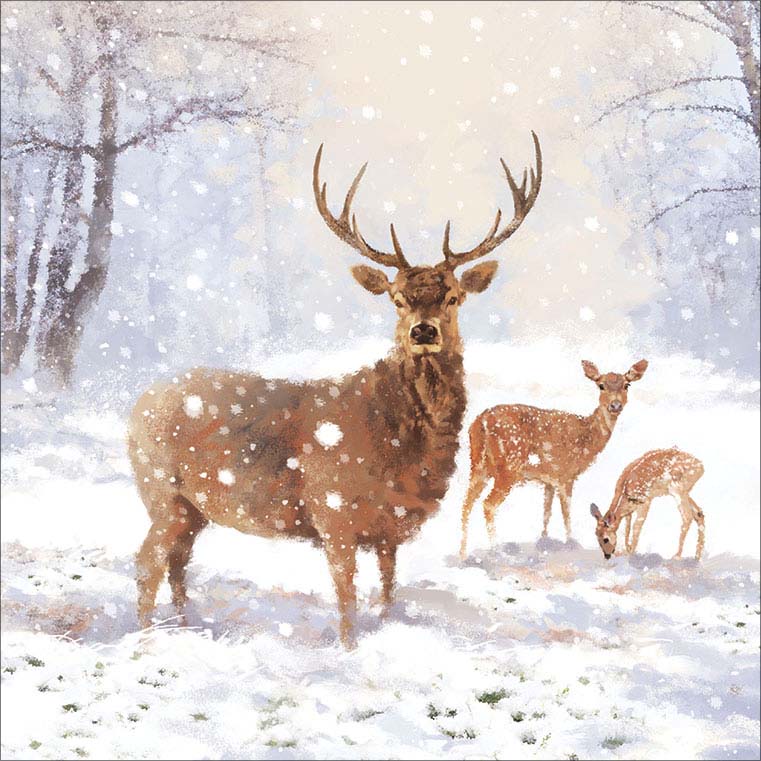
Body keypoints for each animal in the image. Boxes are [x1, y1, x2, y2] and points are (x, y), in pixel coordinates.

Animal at [128, 134, 543, 647]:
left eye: (453, 296)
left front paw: (386, 626)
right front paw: (348, 648)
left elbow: (387, 588)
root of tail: (136, 407)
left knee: (177, 561)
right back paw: (147, 641)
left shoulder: (389, 527)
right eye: (397, 298)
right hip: (161, 492)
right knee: (147, 562)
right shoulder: (334, 512)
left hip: (191, 508)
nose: (423, 331)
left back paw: (187, 628)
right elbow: (346, 598)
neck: (400, 447)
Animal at [460, 358, 648, 558]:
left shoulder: (549, 479)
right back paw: (497, 550)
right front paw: (570, 542)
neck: (587, 439)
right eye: (601, 385)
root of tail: (481, 422)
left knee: (466, 503)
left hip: (479, 465)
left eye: (627, 385)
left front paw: (544, 541)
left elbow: (546, 512)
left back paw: (462, 552)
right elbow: (566, 512)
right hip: (508, 468)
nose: (615, 405)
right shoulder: (566, 474)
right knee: (488, 504)